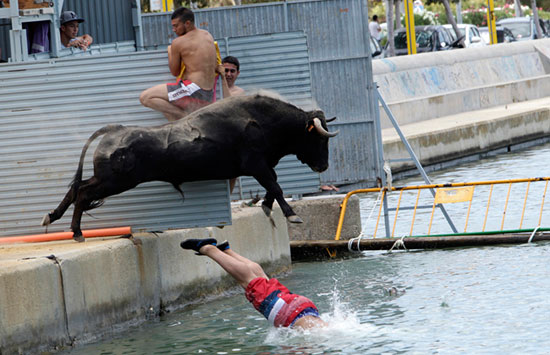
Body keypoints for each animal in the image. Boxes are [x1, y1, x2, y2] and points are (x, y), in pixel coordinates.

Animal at [41, 93, 338, 242]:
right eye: (319, 138)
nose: (323, 165)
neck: (261, 119)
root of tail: (116, 129)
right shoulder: (256, 164)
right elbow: (276, 185)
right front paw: (292, 214)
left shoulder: (262, 166)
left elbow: (273, 186)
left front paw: (266, 206)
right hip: (115, 181)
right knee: (82, 193)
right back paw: (76, 232)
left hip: (107, 179)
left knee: (77, 189)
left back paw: (53, 217)